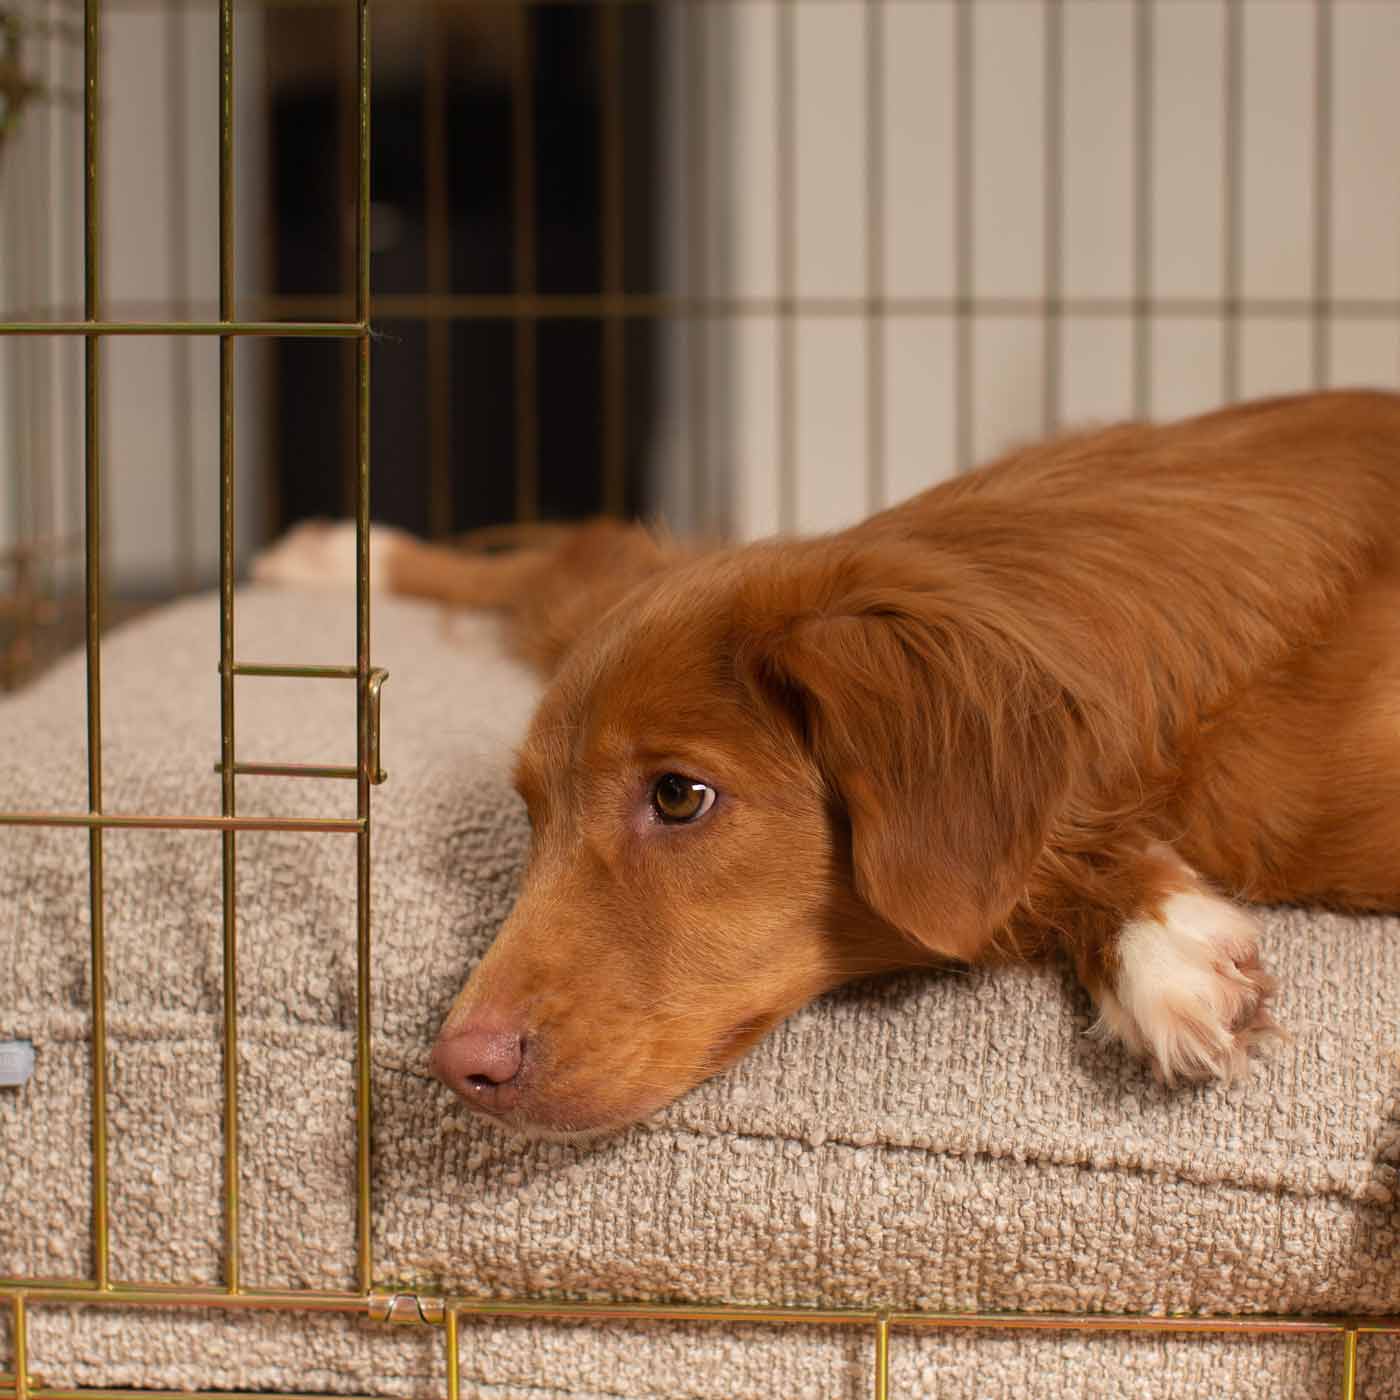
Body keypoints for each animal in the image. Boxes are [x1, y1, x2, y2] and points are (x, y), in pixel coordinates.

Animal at [257, 386, 1400, 1136]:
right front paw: (1152, 932)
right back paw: (339, 556)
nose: (460, 1067)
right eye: (531, 816)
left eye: (679, 795)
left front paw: (1152, 935)